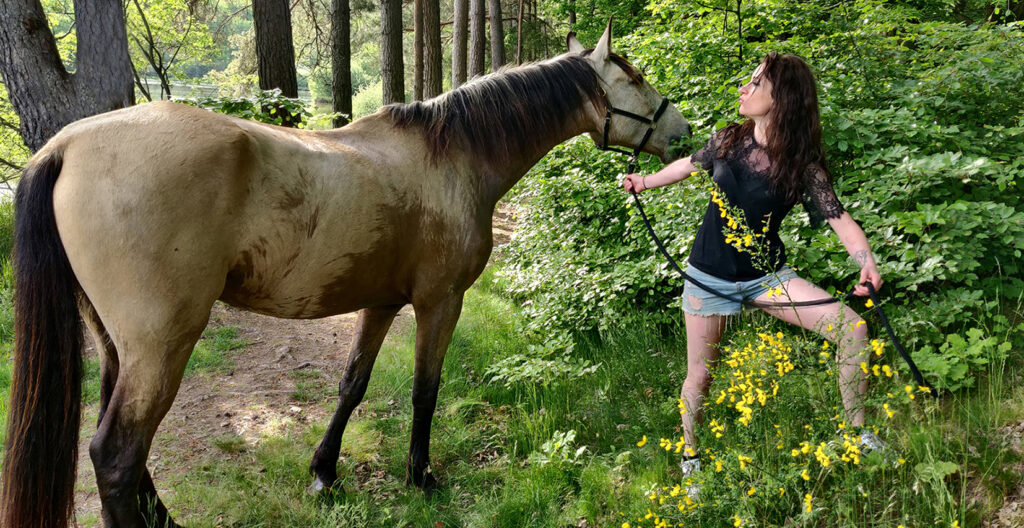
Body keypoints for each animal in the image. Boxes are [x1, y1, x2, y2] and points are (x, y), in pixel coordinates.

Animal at [1, 22, 689, 528]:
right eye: (635, 76)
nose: (684, 133)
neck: (452, 156)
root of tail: (66, 146)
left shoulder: (381, 303)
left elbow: (351, 386)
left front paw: (323, 474)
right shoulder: (441, 301)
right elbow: (424, 390)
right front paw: (421, 476)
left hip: (115, 345)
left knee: (121, 446)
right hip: (161, 344)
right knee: (116, 454)